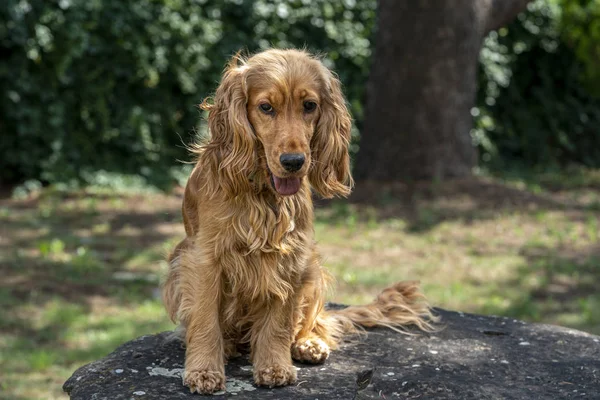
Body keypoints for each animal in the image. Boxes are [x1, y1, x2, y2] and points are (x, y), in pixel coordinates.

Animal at [163, 49, 436, 394]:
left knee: (311, 322)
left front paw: (274, 366)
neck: (262, 194)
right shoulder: (203, 258)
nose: (293, 162)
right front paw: (203, 370)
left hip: (314, 271)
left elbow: (280, 321)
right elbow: (204, 319)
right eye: (266, 107)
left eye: (309, 105)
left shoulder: (291, 256)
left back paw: (307, 344)